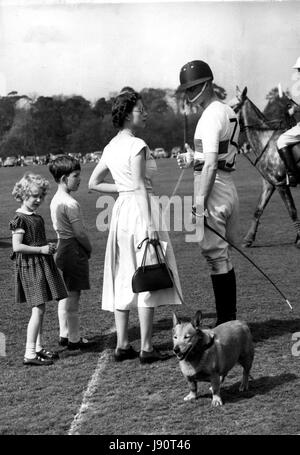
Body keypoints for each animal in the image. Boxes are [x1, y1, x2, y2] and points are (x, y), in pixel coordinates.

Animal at [233, 87, 300, 248]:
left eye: (233, 106)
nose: (241, 146)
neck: (265, 142)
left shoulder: (281, 184)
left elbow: (292, 211)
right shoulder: (269, 183)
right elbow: (258, 209)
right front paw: (248, 239)